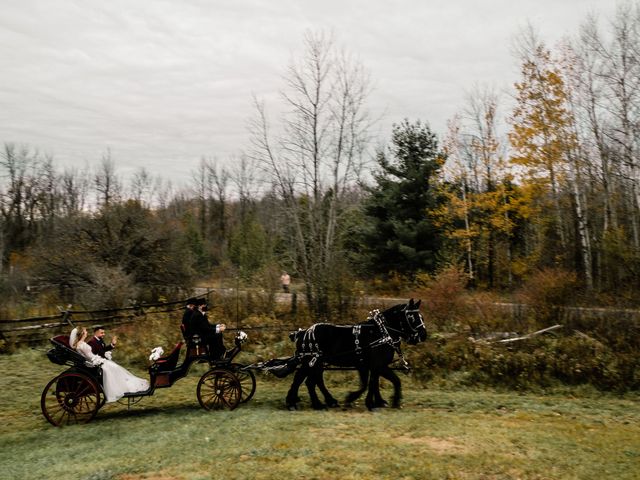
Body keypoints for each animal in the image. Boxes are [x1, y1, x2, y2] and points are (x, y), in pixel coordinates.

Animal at [284, 300, 424, 408]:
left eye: (421, 317)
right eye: (412, 317)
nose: (423, 335)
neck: (381, 333)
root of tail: (302, 332)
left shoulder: (371, 366)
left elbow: (374, 382)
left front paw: (378, 401)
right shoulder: (377, 365)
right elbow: (381, 382)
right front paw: (369, 401)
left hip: (317, 363)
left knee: (311, 381)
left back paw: (325, 402)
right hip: (311, 362)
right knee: (303, 380)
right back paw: (298, 403)